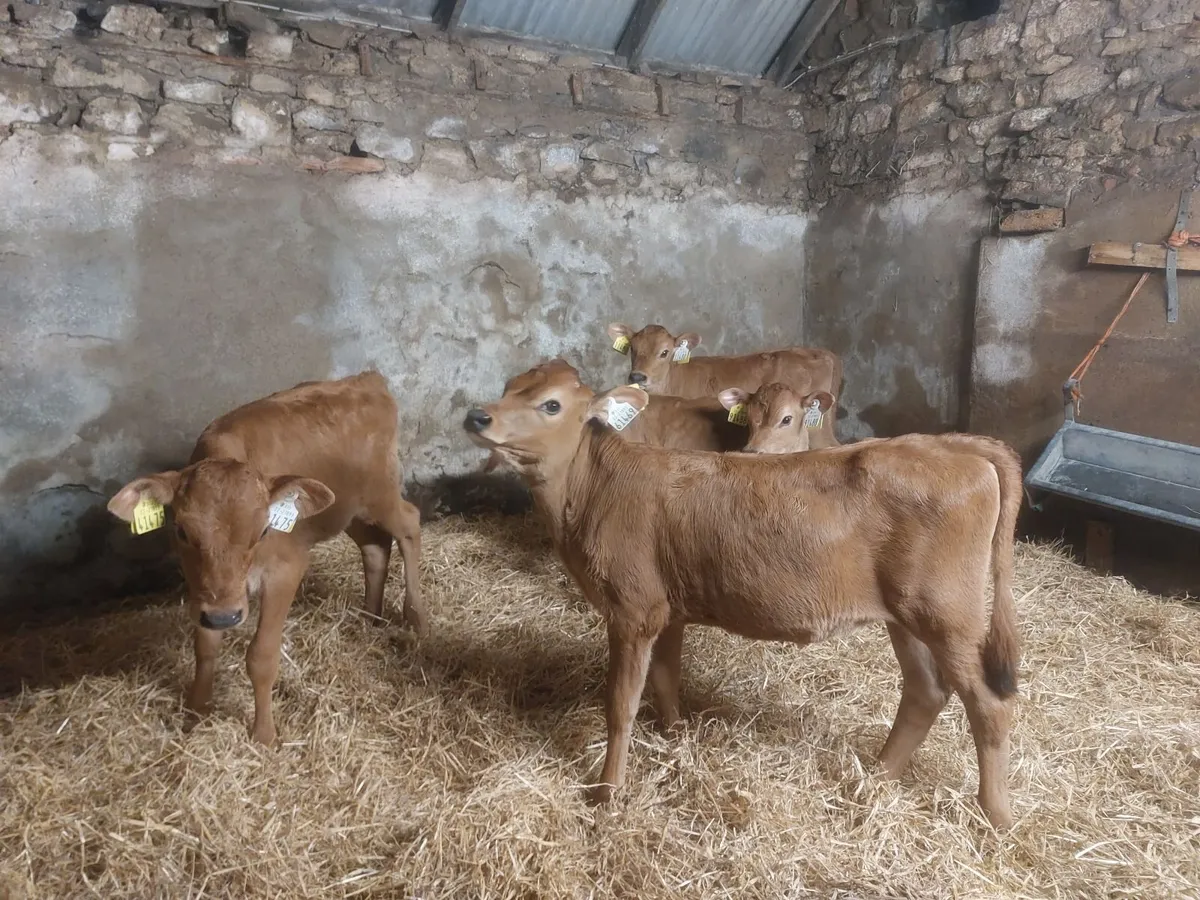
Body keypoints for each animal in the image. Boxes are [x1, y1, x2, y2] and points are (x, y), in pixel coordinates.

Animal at [107, 371, 426, 745]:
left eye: (262, 531)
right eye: (182, 531)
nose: (225, 617)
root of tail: (367, 379)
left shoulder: (286, 570)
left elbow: (261, 656)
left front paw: (264, 734)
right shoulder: (208, 592)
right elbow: (205, 647)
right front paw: (196, 715)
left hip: (381, 495)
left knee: (410, 524)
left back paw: (415, 616)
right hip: (347, 511)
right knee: (375, 547)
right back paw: (369, 617)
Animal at [463, 359, 1023, 829]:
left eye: (551, 405)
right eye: (509, 386)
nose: (476, 415)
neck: (595, 490)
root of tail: (950, 445)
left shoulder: (632, 609)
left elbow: (620, 704)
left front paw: (606, 792)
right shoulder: (668, 609)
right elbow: (666, 680)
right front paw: (676, 742)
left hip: (948, 613)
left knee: (990, 706)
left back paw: (995, 815)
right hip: (906, 615)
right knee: (925, 692)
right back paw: (872, 779)